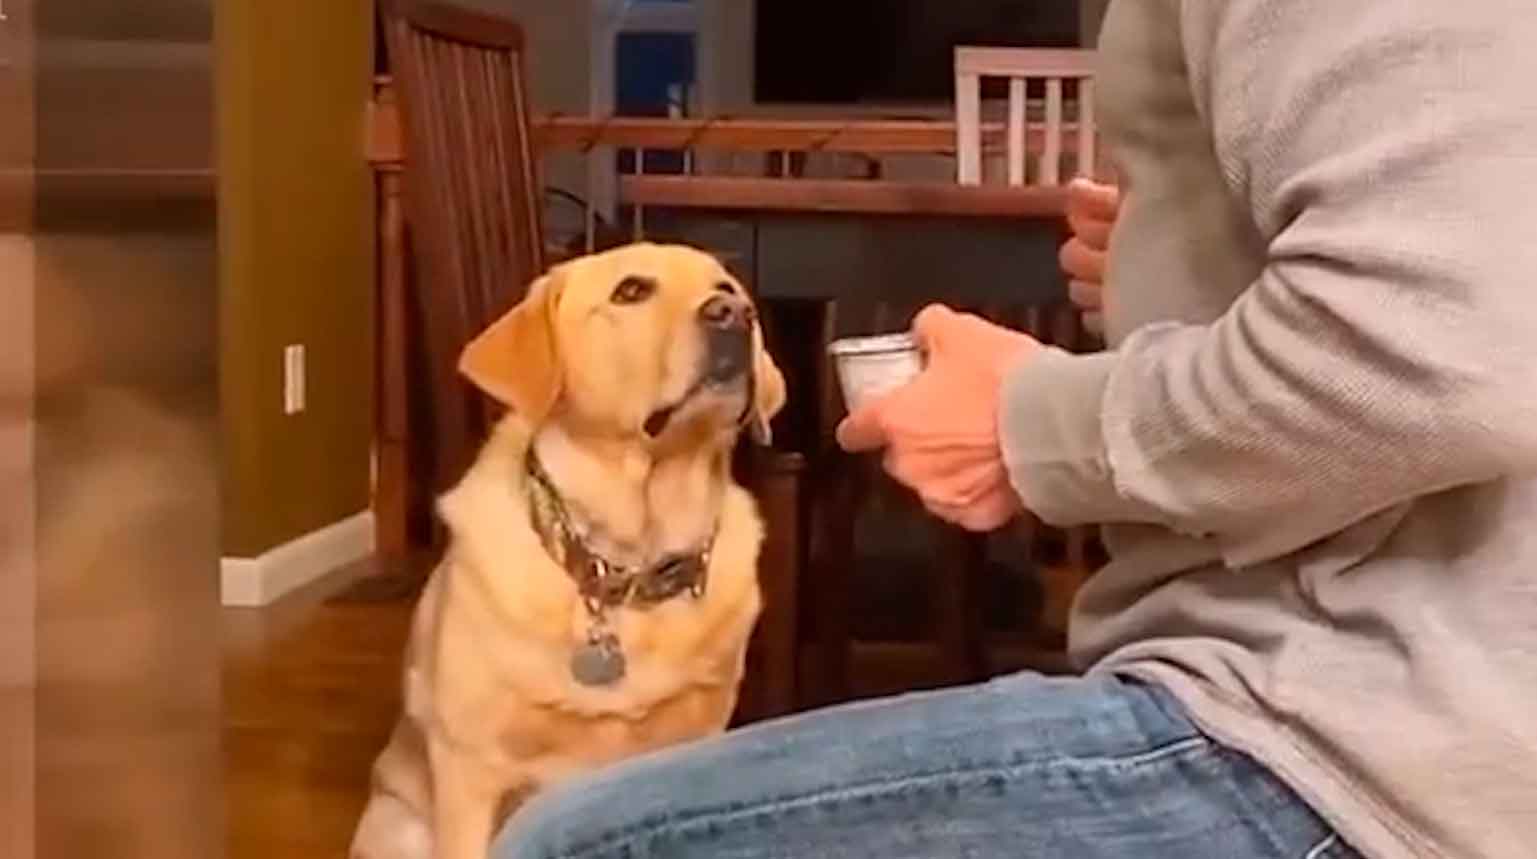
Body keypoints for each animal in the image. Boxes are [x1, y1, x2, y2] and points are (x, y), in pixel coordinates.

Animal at [351, 242, 786, 859]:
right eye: (631, 291)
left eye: (727, 288)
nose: (733, 314)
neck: (627, 563)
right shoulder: (470, 771)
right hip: (400, 827)